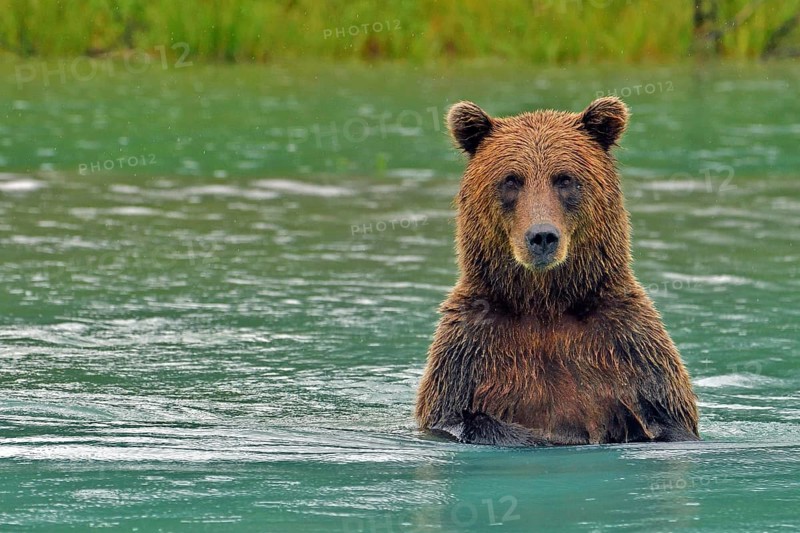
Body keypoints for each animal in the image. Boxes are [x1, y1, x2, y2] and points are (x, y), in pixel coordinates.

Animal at [415, 97, 699, 446]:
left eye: (564, 178)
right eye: (512, 179)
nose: (542, 236)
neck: (546, 304)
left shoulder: (630, 350)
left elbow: (667, 420)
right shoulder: (468, 354)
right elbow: (459, 418)